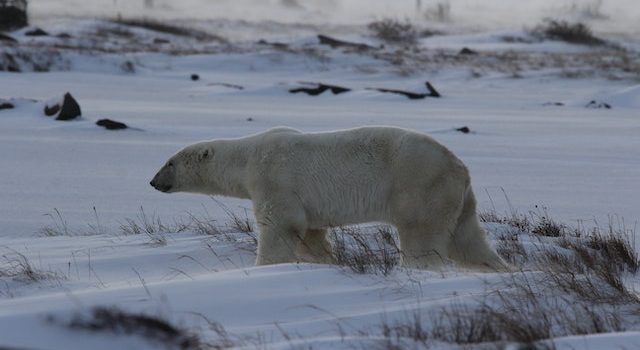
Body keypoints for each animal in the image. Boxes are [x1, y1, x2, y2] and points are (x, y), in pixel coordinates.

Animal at [150, 127, 510, 272]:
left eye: (170, 162)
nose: (153, 182)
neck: (248, 156)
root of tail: (460, 166)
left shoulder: (274, 178)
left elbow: (279, 226)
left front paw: (264, 266)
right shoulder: (307, 203)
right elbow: (311, 235)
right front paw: (325, 262)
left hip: (419, 185)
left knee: (421, 236)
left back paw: (417, 268)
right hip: (458, 198)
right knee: (467, 239)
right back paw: (499, 268)